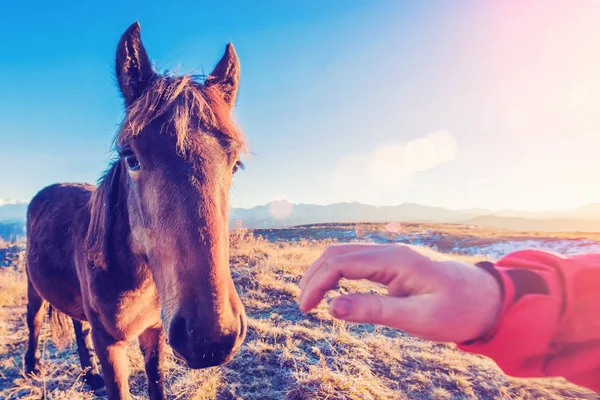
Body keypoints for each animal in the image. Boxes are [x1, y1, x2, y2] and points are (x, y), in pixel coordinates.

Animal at [24, 22, 248, 400]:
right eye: (131, 157)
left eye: (235, 165)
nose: (211, 338)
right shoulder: (110, 344)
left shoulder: (155, 330)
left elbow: (155, 380)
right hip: (32, 285)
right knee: (34, 318)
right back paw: (31, 367)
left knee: (77, 325)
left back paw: (88, 375)